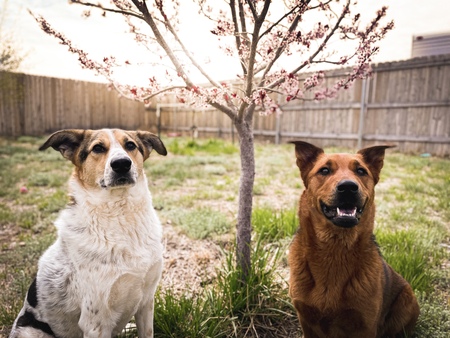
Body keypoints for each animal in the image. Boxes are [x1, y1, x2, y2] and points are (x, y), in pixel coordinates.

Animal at [9, 129, 168, 338]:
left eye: (130, 145)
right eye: (98, 148)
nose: (122, 164)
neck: (121, 215)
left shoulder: (146, 303)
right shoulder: (95, 323)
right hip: (31, 332)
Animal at [290, 142, 420, 338]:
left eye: (360, 171)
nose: (348, 187)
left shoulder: (365, 325)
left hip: (406, 301)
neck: (335, 249)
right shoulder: (306, 321)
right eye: (324, 170)